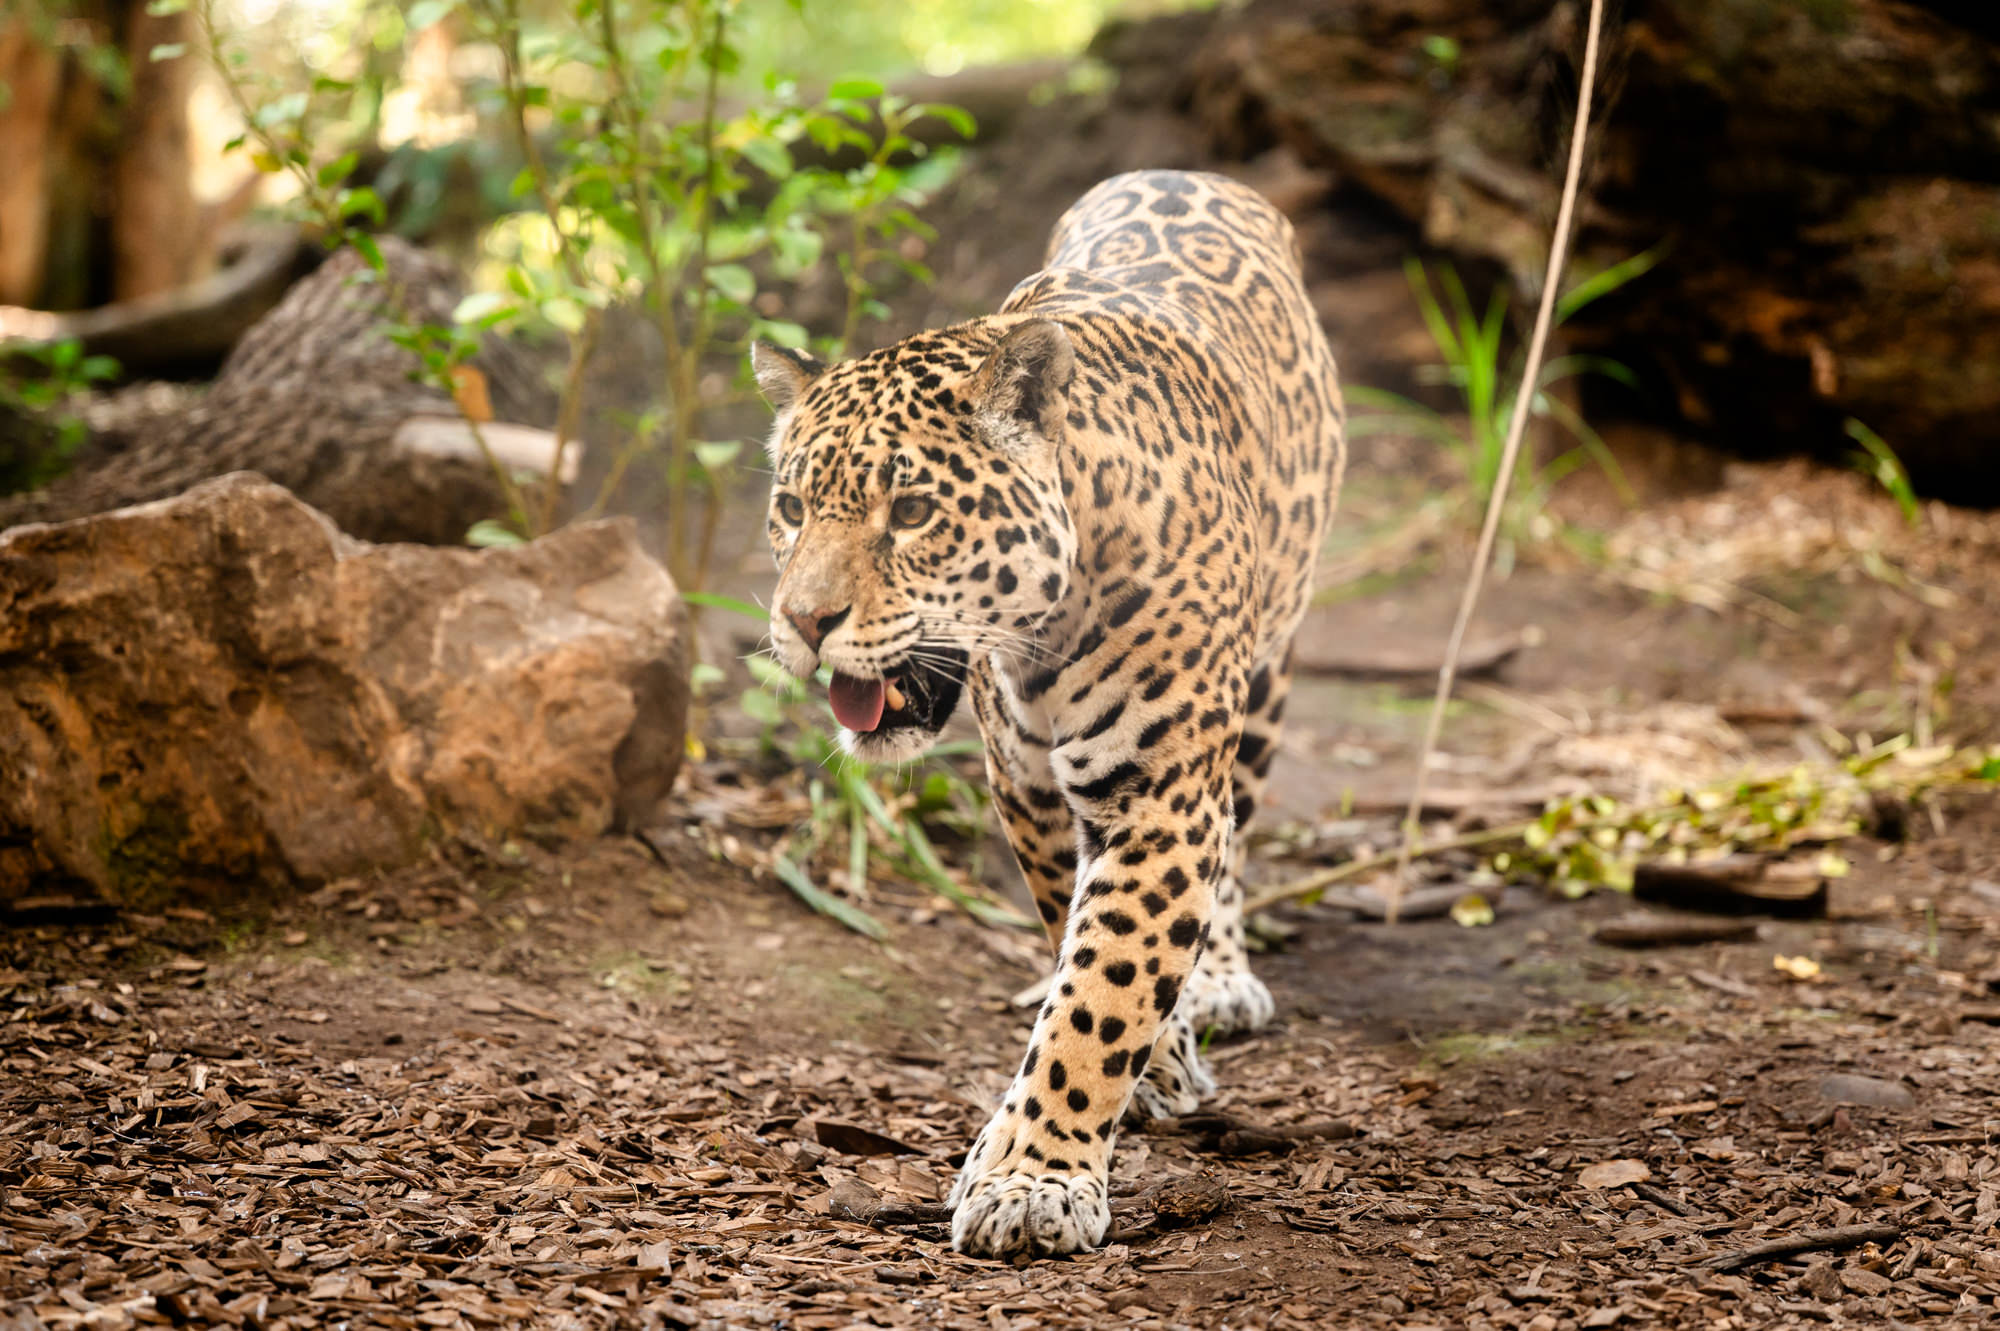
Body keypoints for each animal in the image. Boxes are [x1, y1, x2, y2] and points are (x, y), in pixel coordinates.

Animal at [751, 169, 1345, 1259]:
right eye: (791, 507)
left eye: (911, 513)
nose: (802, 622)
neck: (1047, 629)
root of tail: (1187, 170)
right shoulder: (1023, 785)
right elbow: (1083, 940)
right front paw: (1147, 1070)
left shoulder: (1158, 793)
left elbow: (1103, 986)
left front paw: (1033, 1178)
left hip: (1266, 674)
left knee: (1236, 826)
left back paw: (1221, 977)